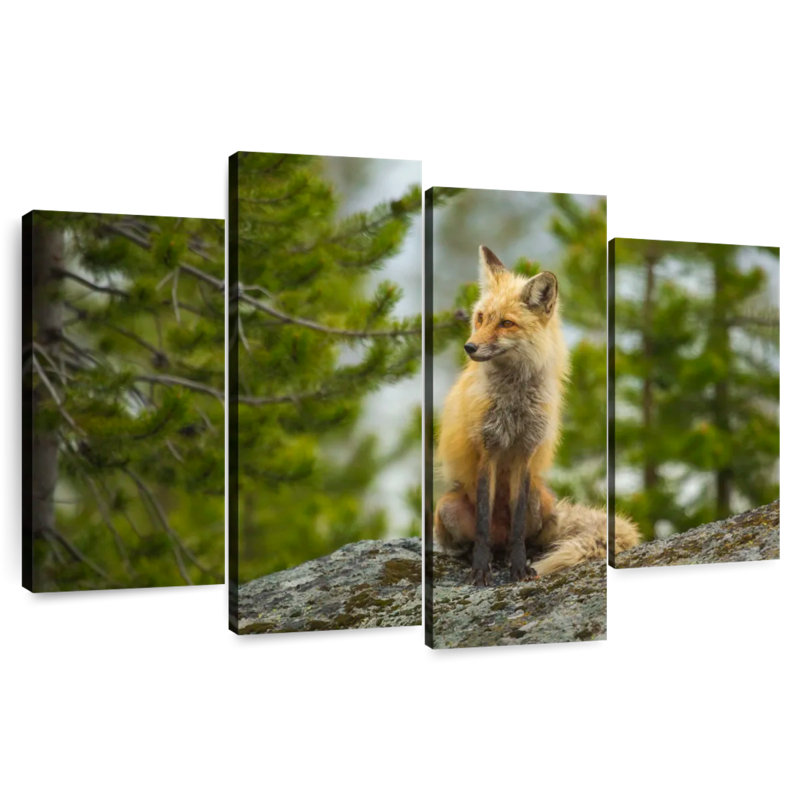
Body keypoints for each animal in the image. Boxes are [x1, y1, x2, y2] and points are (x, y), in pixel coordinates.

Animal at [433, 245, 639, 585]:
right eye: (480, 318)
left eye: (506, 323)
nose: (469, 347)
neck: (514, 403)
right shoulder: (487, 450)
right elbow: (482, 524)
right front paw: (480, 569)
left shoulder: (526, 453)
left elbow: (517, 528)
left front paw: (519, 568)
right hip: (446, 509)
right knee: (477, 540)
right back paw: (477, 555)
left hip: (542, 505)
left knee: (528, 539)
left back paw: (518, 556)